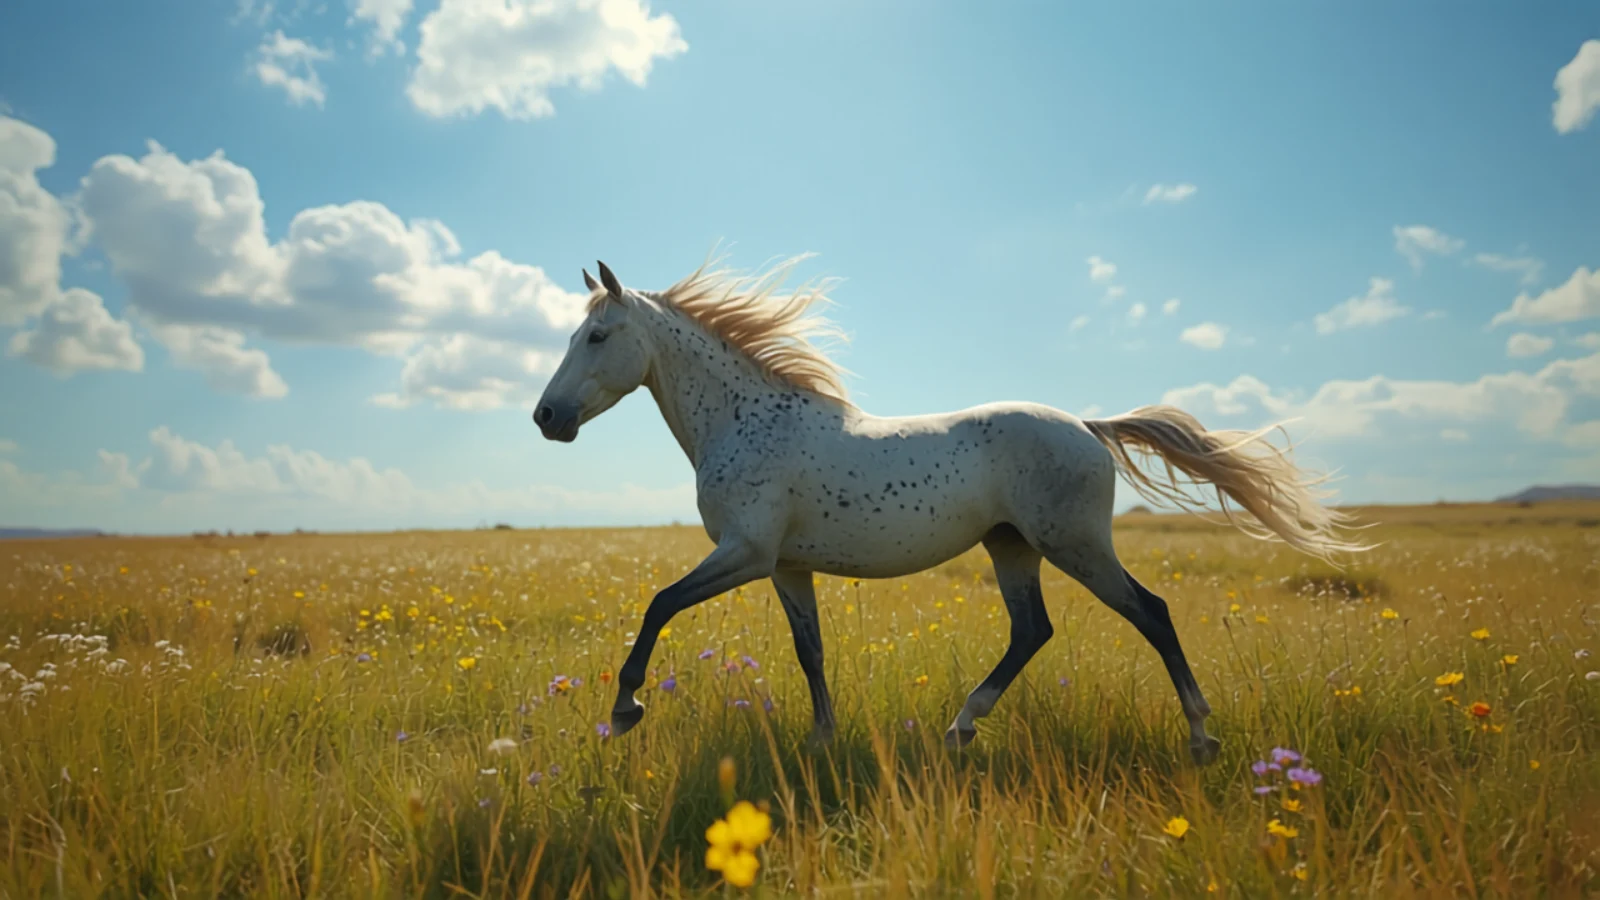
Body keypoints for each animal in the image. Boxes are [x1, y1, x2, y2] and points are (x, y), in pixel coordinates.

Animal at [532, 256, 1366, 765]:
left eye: (598, 335)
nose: (546, 418)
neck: (747, 420)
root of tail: (1087, 426)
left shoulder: (746, 553)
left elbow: (659, 603)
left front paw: (625, 707)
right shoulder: (786, 567)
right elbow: (810, 651)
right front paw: (822, 740)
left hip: (1074, 545)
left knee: (1151, 613)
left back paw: (1199, 738)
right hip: (1011, 547)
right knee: (1033, 631)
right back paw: (962, 726)